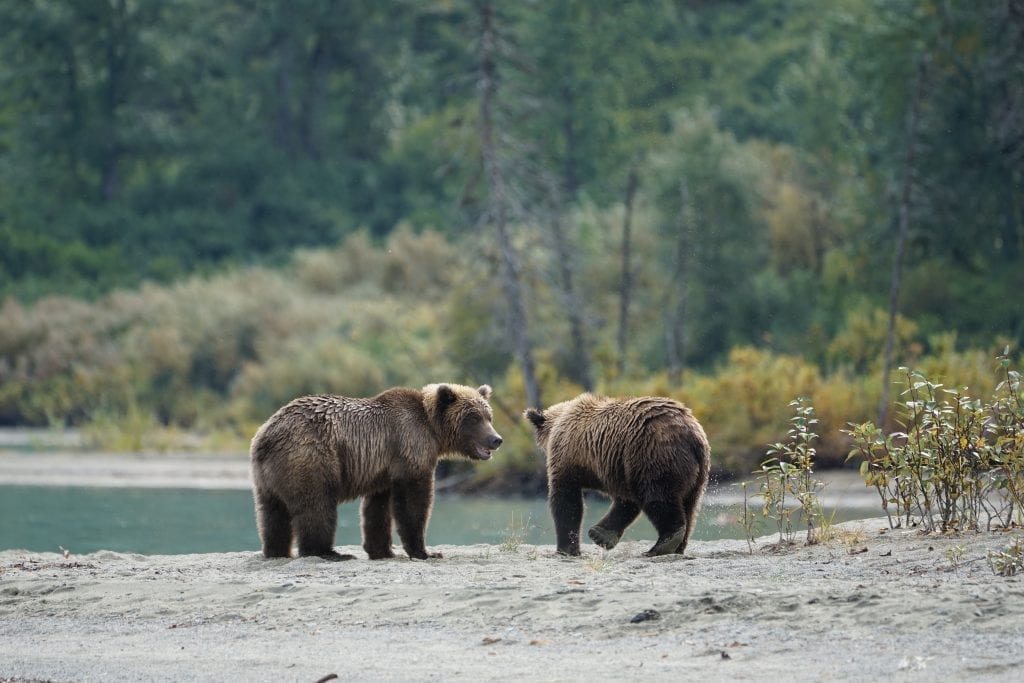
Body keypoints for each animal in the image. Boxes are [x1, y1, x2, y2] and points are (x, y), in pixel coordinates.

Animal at [249, 382, 501, 565]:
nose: (496, 439)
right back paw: (328, 552)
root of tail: (266, 435)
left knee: (272, 512)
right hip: (312, 458)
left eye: (488, 415)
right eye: (473, 417)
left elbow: (377, 508)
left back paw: (277, 550)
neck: (432, 430)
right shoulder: (409, 447)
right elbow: (413, 501)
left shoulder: (385, 469)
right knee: (316, 505)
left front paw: (383, 550)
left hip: (268, 475)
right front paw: (426, 551)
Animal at [524, 393, 708, 557]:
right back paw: (677, 547)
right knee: (689, 506)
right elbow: (625, 502)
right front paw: (601, 535)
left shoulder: (568, 458)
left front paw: (566, 548)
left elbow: (567, 500)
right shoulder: (619, 467)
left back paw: (663, 544)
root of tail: (692, 436)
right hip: (695, 472)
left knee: (658, 496)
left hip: (652, 454)